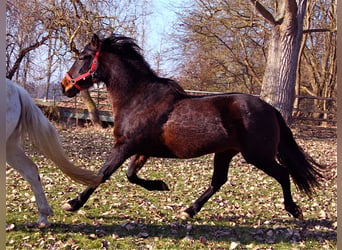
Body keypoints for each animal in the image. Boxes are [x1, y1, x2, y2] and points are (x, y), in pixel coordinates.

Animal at [60, 34, 324, 220]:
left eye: (82, 57)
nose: (65, 86)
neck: (138, 98)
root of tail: (270, 109)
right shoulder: (141, 150)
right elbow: (130, 175)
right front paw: (161, 185)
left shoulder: (124, 146)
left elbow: (103, 174)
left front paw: (73, 203)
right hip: (225, 152)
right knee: (218, 181)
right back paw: (189, 210)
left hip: (257, 155)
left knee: (283, 173)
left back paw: (294, 210)